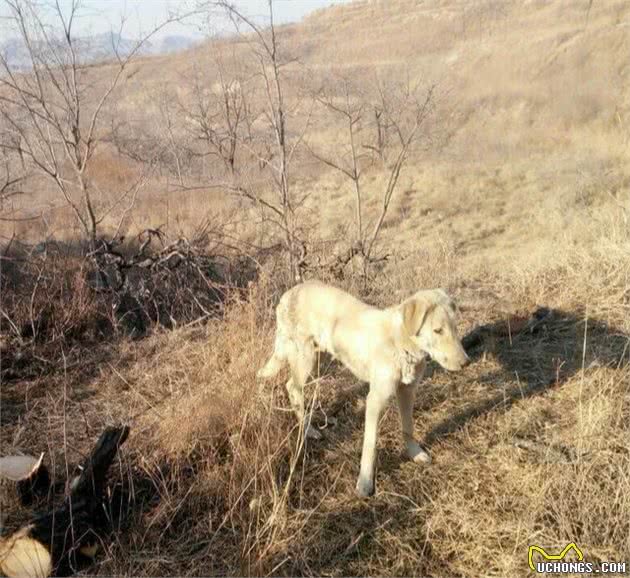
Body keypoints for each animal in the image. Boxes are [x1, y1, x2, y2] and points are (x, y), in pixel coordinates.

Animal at [256, 280, 470, 496]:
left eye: (455, 327)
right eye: (438, 330)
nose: (466, 363)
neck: (400, 344)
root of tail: (289, 293)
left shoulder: (407, 391)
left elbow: (408, 428)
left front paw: (415, 453)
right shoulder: (375, 400)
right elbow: (370, 445)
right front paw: (365, 483)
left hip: (319, 358)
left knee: (293, 386)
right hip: (306, 359)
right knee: (292, 387)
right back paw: (308, 430)